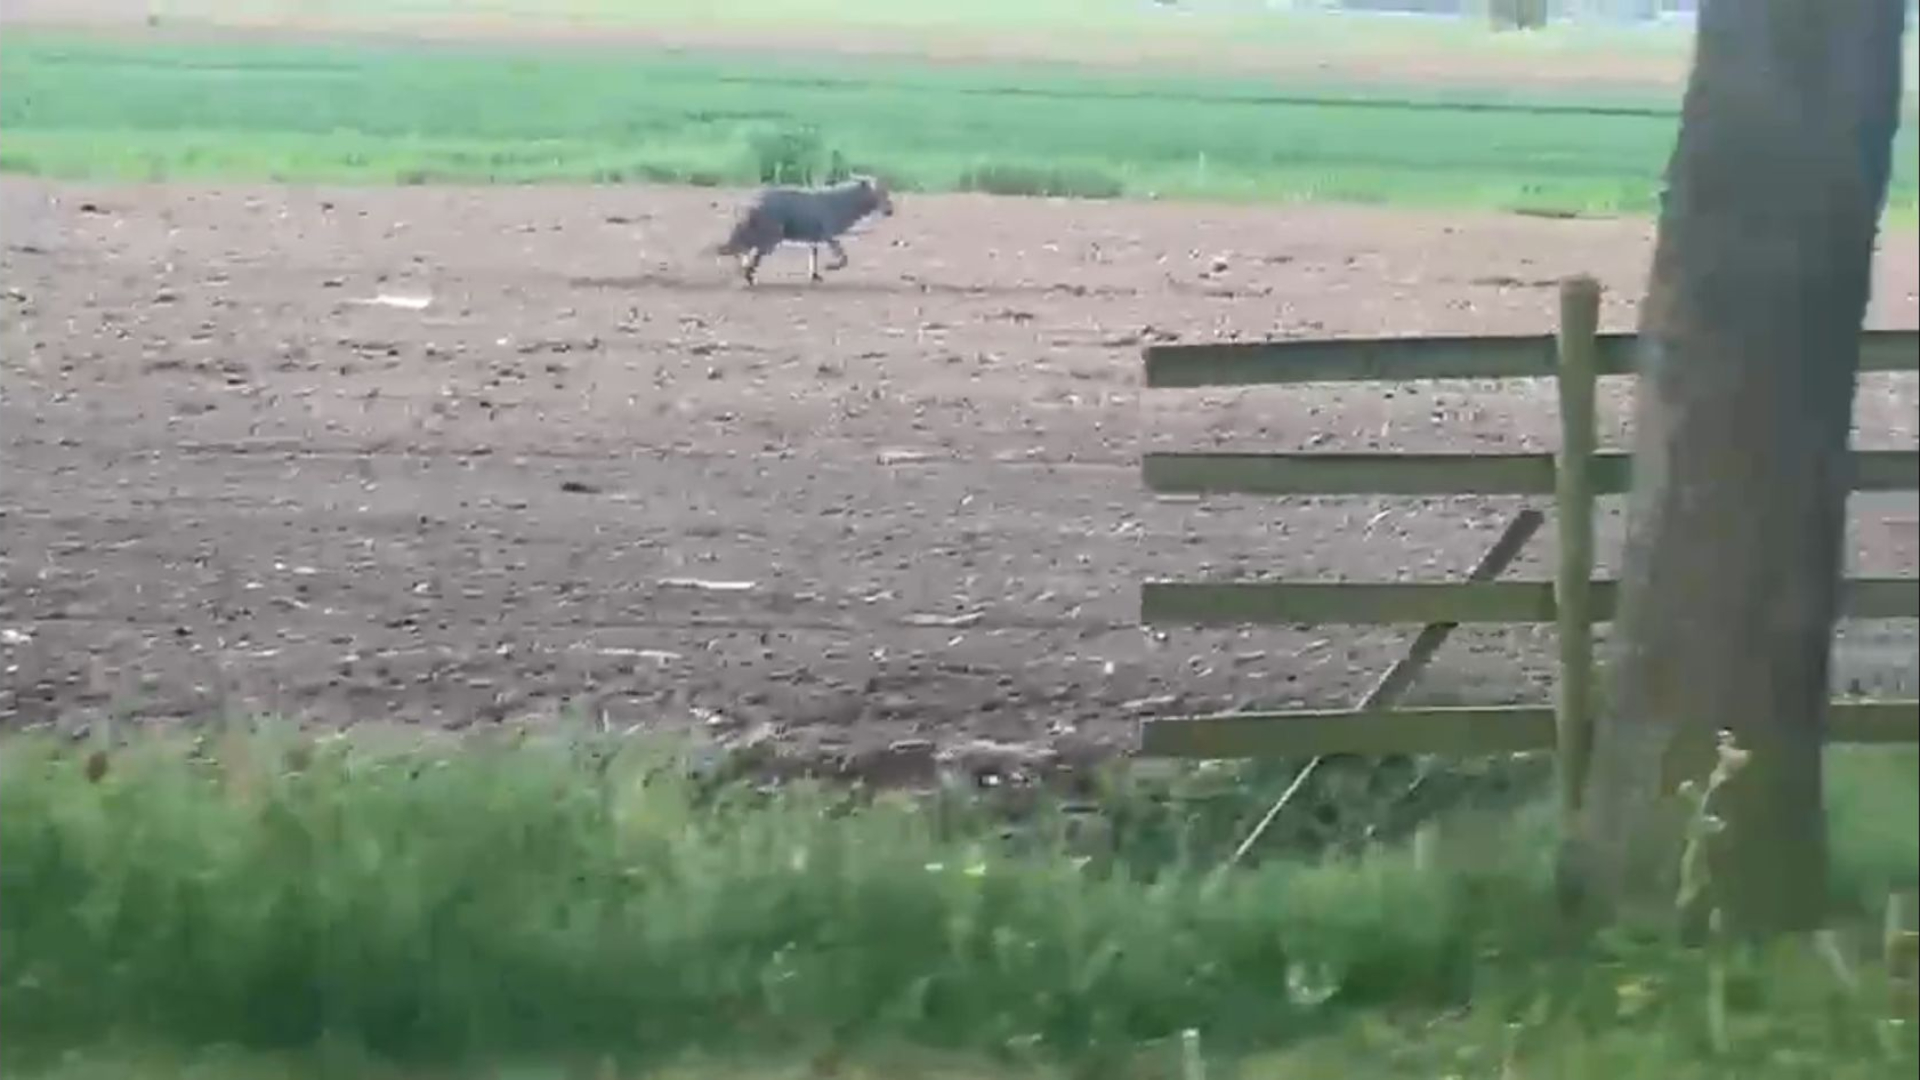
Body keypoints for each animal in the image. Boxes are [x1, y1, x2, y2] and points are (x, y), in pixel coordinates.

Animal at [713, 175, 895, 285]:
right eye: (881, 193)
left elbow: (813, 256)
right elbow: (844, 258)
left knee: (742, 251)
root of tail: (746, 204)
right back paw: (747, 274)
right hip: (770, 236)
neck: (843, 202)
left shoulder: (815, 237)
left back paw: (746, 273)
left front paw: (815, 276)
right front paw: (831, 267)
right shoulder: (828, 234)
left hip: (760, 234)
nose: (890, 211)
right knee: (744, 251)